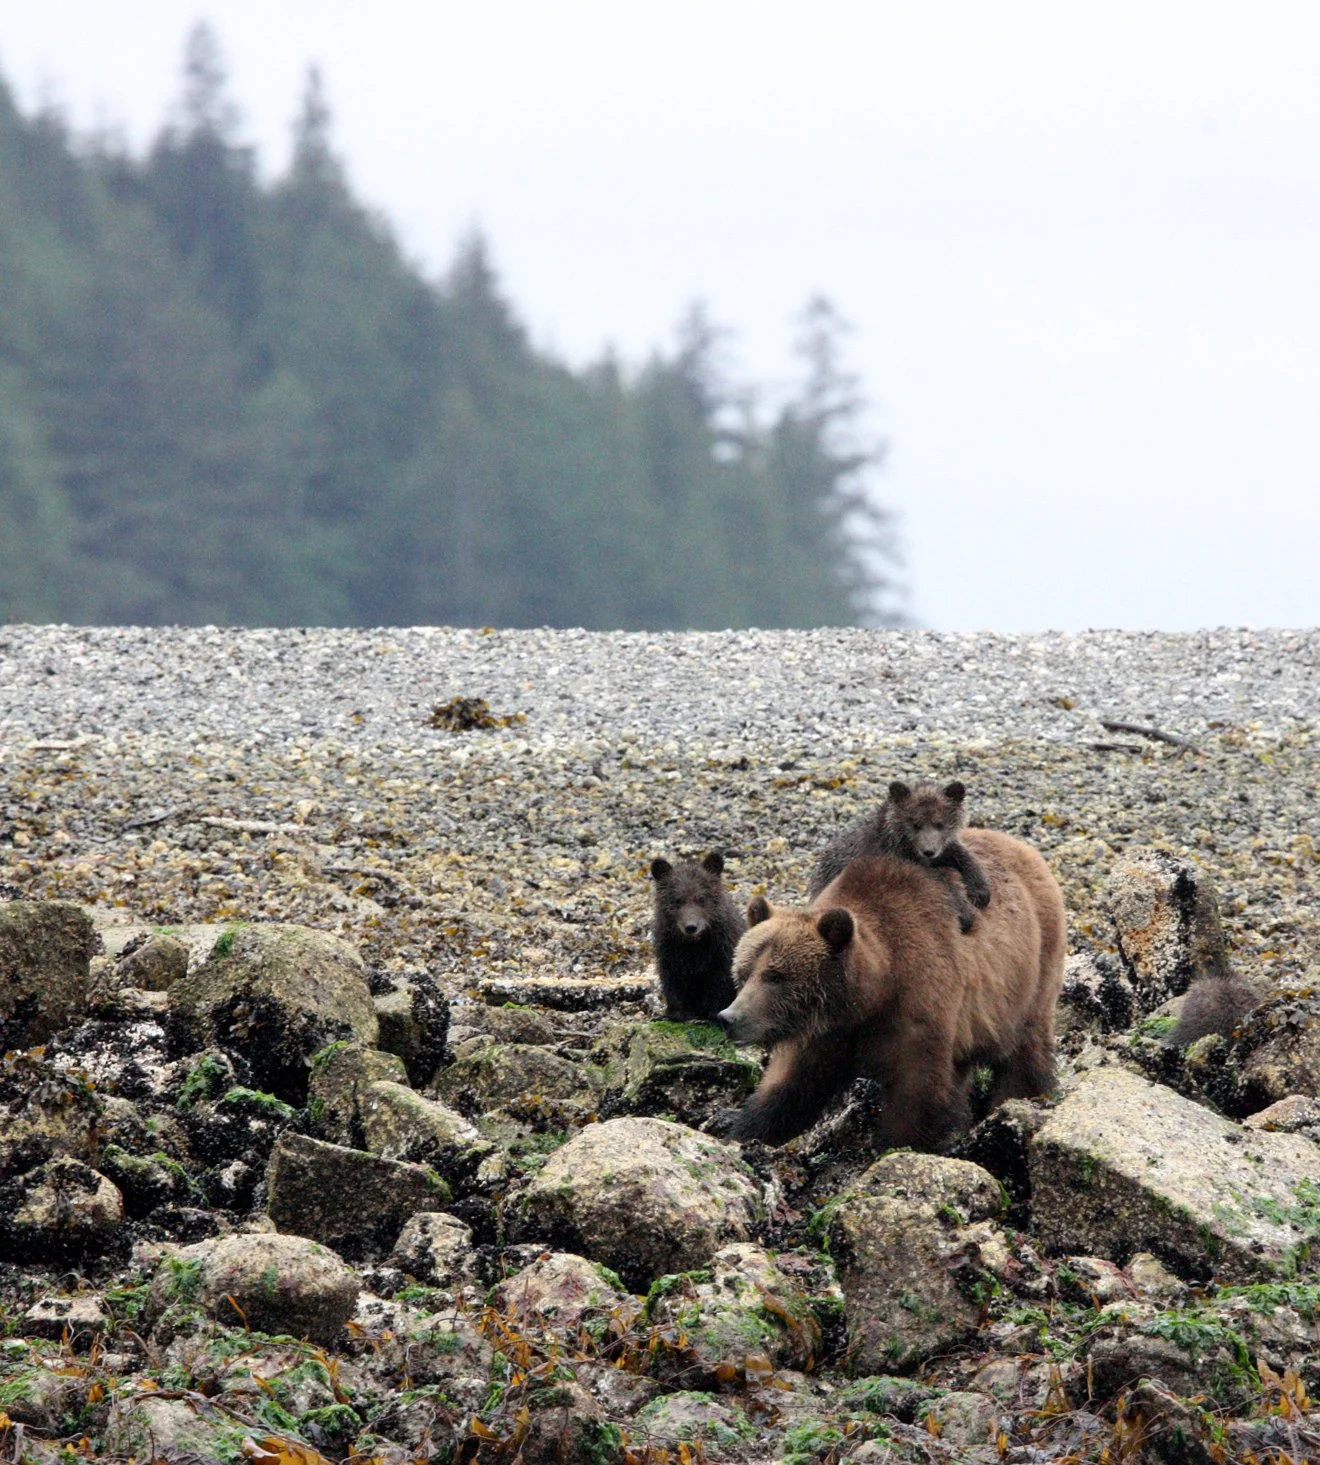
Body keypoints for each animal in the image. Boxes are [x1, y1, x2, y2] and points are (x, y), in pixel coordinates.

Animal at [649, 851, 747, 1021]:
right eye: (677, 900)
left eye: (701, 898)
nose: (691, 927)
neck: (695, 945)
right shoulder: (670, 951)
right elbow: (673, 980)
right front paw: (678, 1013)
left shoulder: (722, 951)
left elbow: (721, 981)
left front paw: (714, 1013)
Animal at [715, 828, 1065, 1149]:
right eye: (743, 972)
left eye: (776, 976)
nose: (729, 1017)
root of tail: (1019, 846)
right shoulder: (823, 1033)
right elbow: (790, 1087)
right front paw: (744, 1135)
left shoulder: (917, 1003)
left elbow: (916, 1093)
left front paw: (896, 1146)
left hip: (1032, 969)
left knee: (1025, 1046)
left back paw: (1020, 1095)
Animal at [810, 780, 992, 934]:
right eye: (915, 824)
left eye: (940, 823)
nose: (929, 850)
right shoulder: (897, 856)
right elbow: (939, 880)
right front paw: (965, 912)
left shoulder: (940, 848)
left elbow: (960, 854)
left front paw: (980, 891)